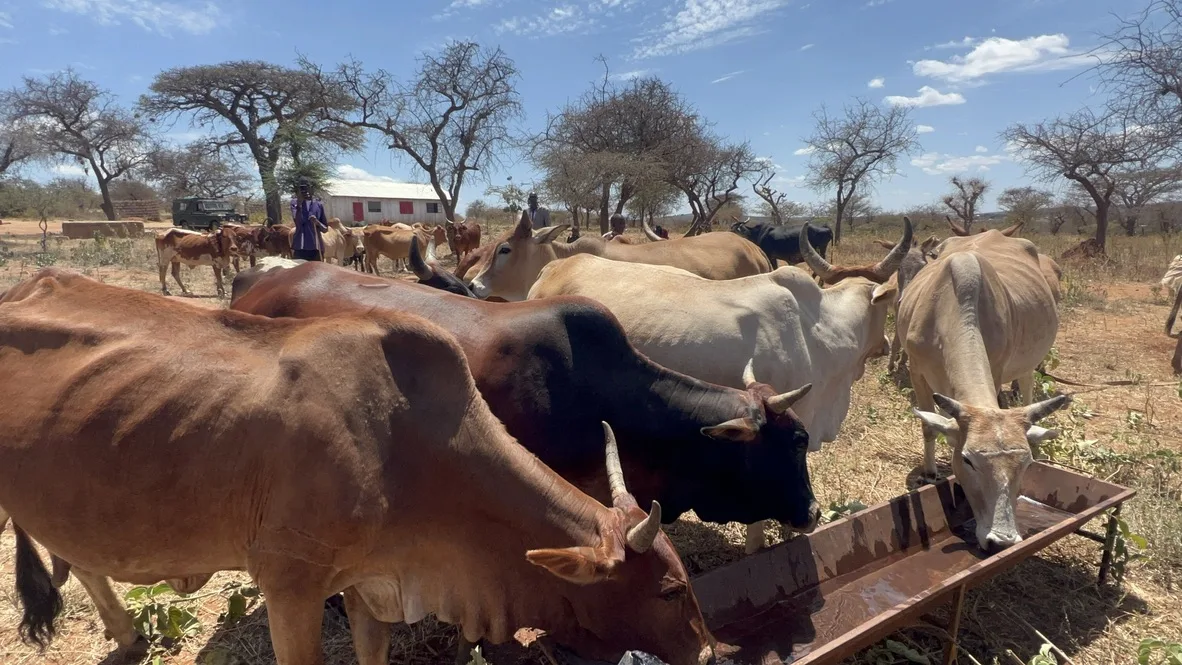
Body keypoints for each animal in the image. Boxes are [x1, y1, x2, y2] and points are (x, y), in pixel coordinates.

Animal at [0, 268, 726, 665]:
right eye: (668, 590)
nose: (707, 651)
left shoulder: (373, 581)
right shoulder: (291, 590)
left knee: (83, 558)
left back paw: (126, 637)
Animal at [896, 230, 1071, 550]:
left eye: (1025, 464)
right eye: (967, 459)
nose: (1001, 540)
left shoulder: (998, 368)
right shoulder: (916, 371)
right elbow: (928, 426)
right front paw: (930, 473)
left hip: (1027, 363)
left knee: (1027, 387)